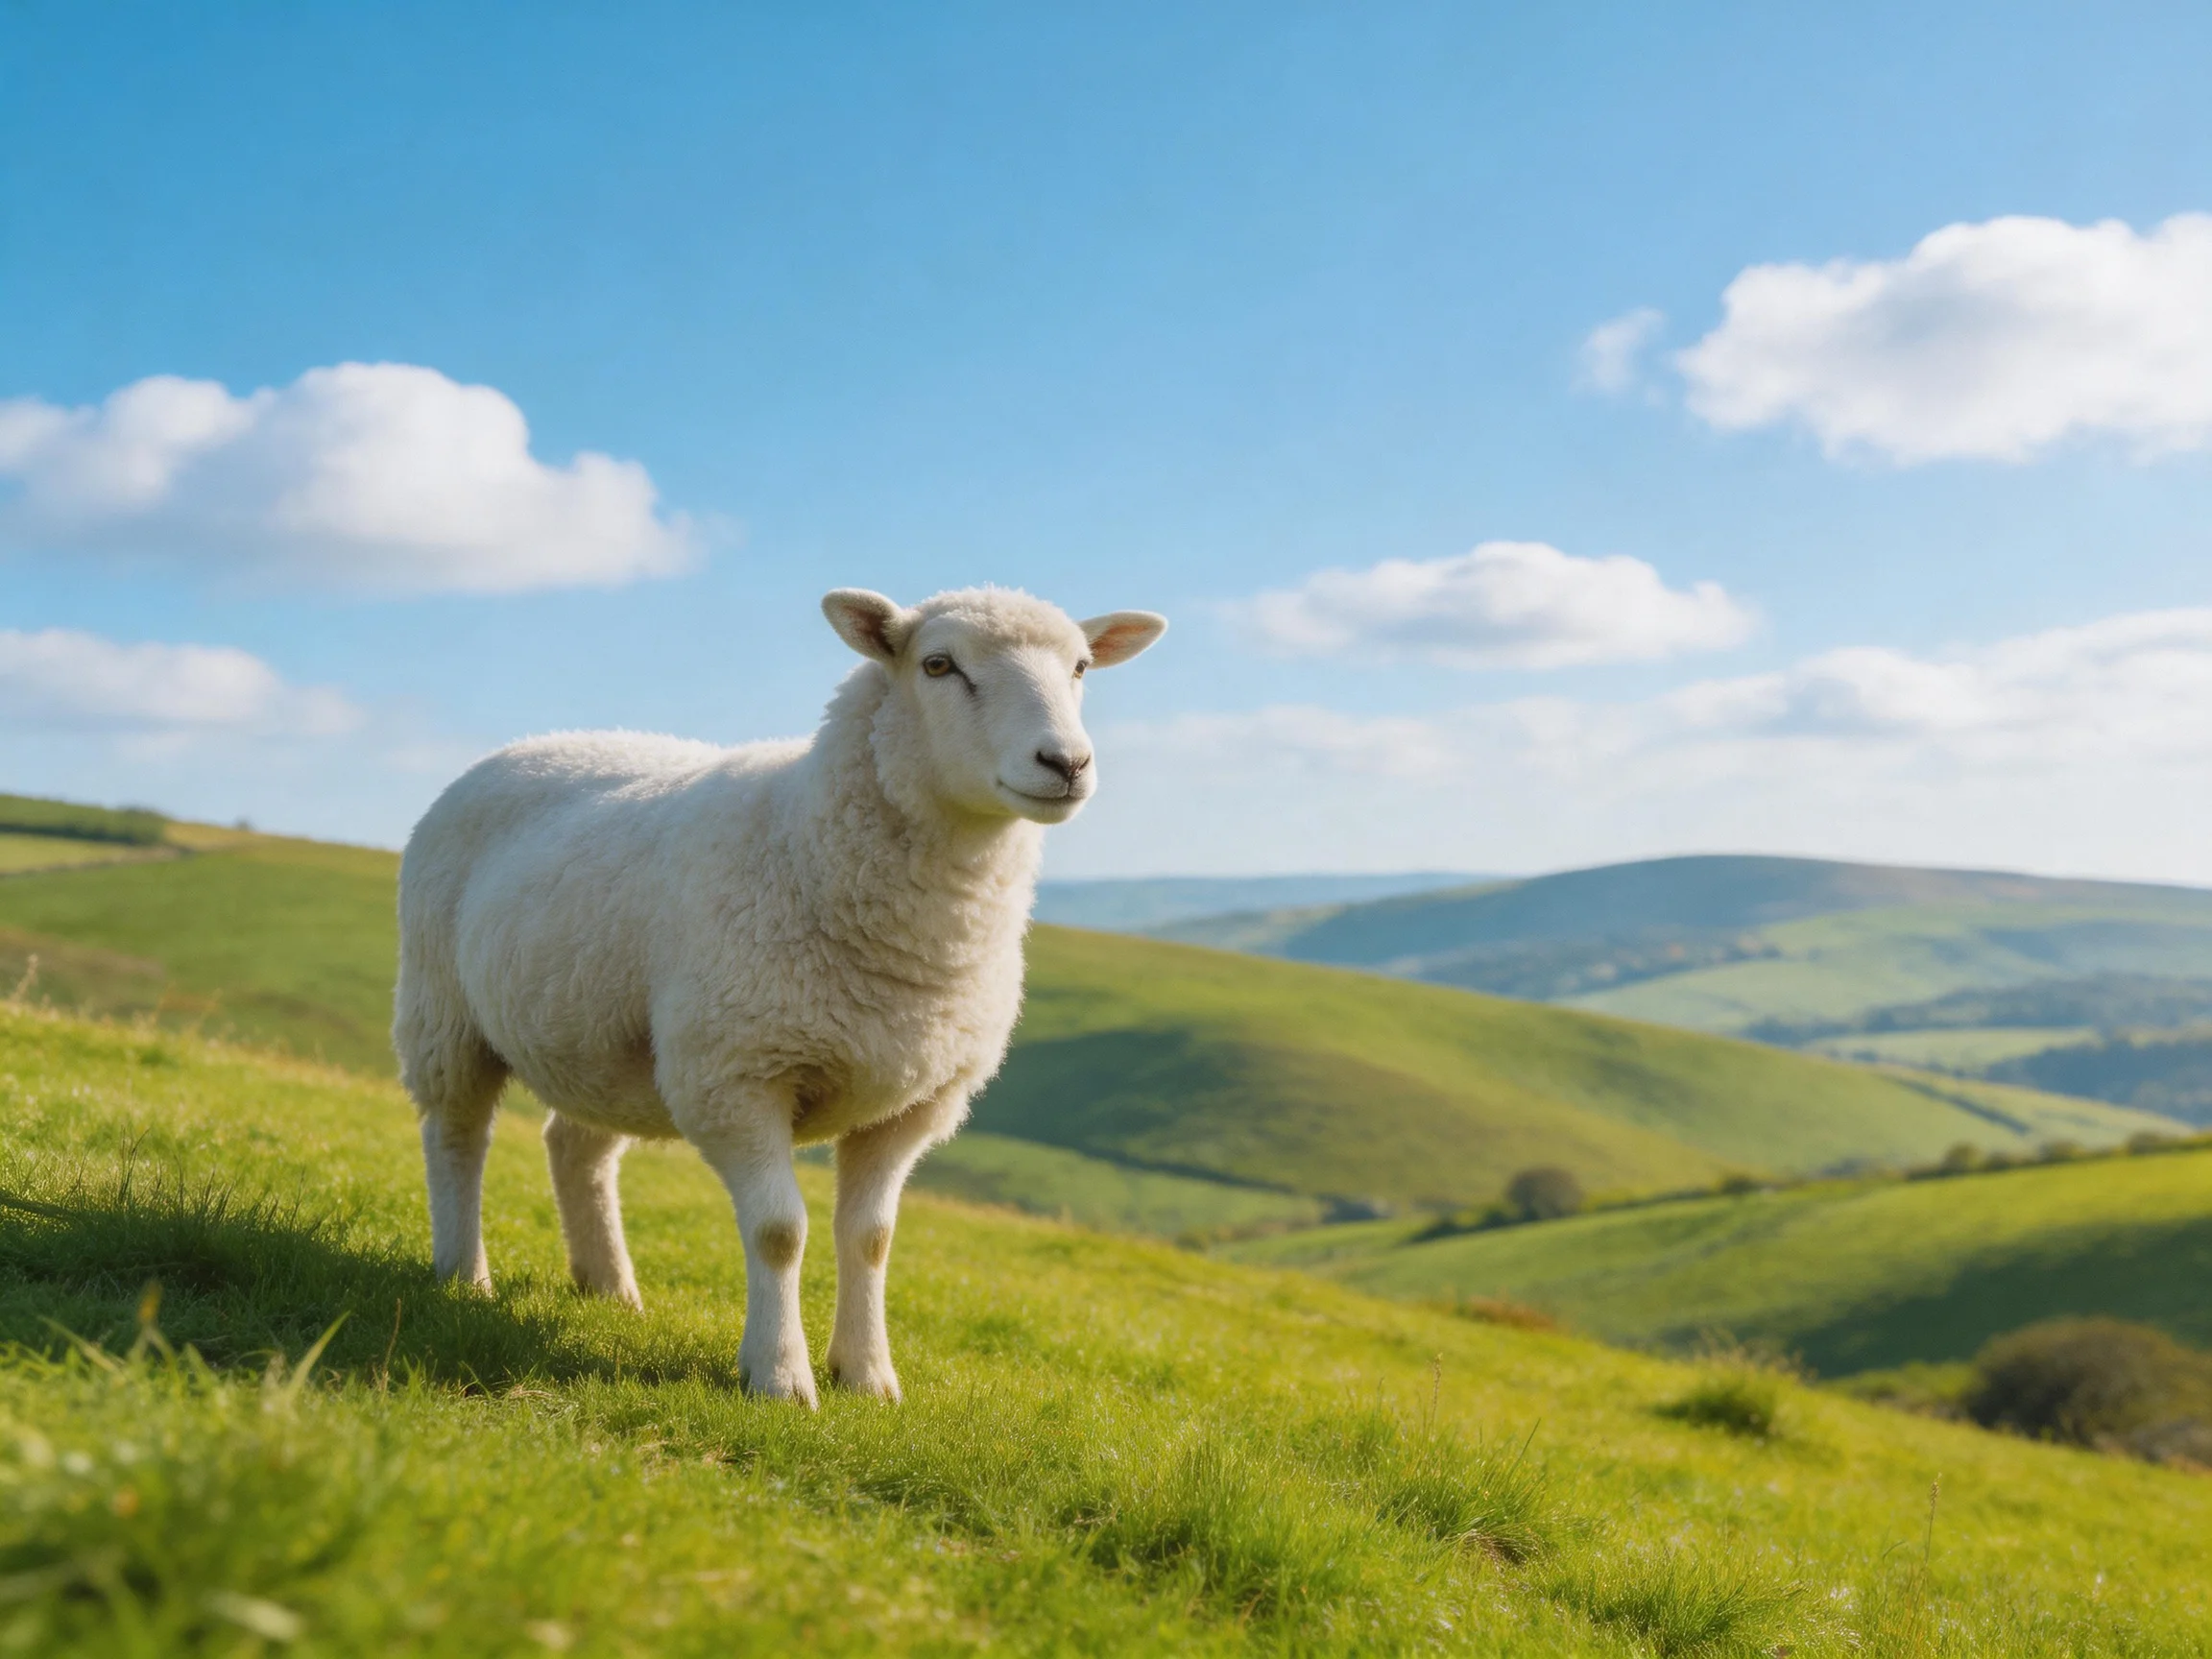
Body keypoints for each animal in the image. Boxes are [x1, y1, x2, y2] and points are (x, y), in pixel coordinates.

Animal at [392, 586, 1166, 1405]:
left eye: (1080, 667)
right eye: (938, 665)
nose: (1066, 762)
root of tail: (531, 742)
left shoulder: (914, 1103)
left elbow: (871, 1238)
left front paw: (868, 1374)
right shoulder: (737, 1075)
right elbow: (778, 1232)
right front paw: (781, 1376)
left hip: (607, 1041)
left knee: (576, 1147)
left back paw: (609, 1287)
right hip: (443, 1009)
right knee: (457, 1136)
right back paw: (463, 1273)